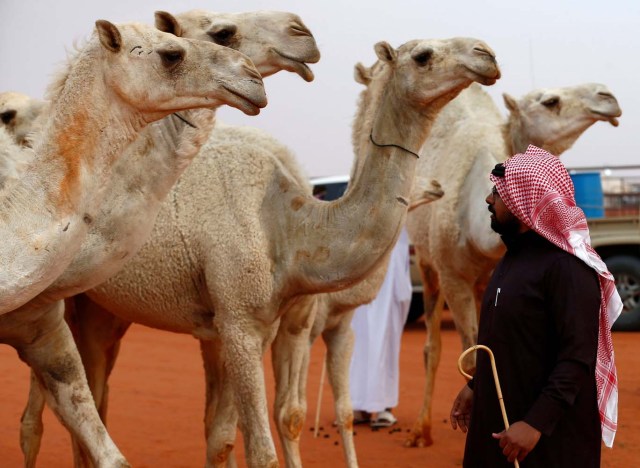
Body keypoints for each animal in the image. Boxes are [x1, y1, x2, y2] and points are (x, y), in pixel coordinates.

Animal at [30, 36, 500, 468]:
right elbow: (259, 449)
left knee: (94, 395)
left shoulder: (268, 324)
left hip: (99, 308)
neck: (287, 226)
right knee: (43, 412)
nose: (486, 54)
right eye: (423, 55)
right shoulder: (239, 322)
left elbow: (252, 428)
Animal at [404, 82, 620, 448]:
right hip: (427, 264)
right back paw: (420, 431)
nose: (608, 97)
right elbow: (470, 352)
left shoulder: (491, 276)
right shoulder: (453, 276)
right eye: (550, 101)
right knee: (431, 347)